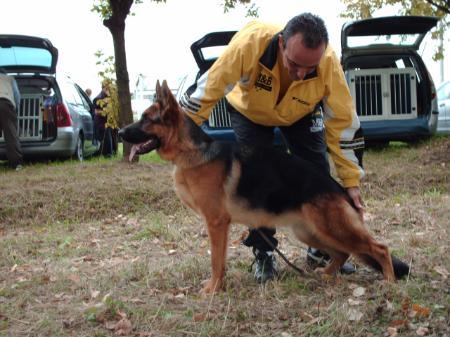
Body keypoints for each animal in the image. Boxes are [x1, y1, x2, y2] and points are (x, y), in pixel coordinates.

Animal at [118, 80, 410, 292]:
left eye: (146, 119)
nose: (120, 133)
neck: (193, 152)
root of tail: (341, 190)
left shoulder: (216, 223)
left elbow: (216, 261)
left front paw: (212, 290)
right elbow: (220, 260)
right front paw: (218, 287)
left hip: (333, 228)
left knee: (378, 248)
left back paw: (389, 282)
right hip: (310, 232)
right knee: (343, 254)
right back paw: (325, 274)